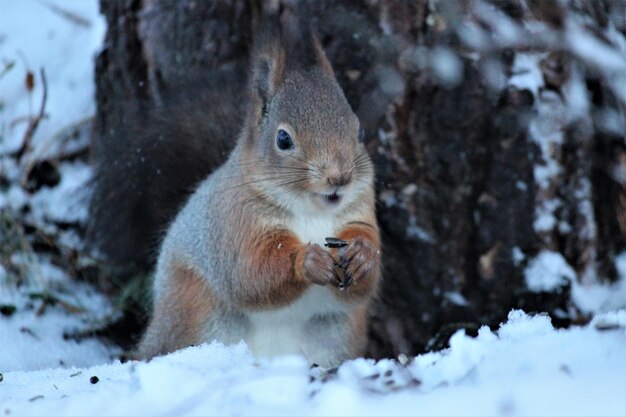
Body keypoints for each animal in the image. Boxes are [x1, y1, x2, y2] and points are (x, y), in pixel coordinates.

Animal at [91, 17, 380, 366]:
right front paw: (307, 260)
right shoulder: (234, 222)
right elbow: (250, 272)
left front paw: (362, 255)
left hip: (335, 335)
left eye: (360, 131)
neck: (309, 213)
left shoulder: (361, 211)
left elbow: (366, 272)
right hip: (195, 312)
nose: (339, 178)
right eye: (283, 139)